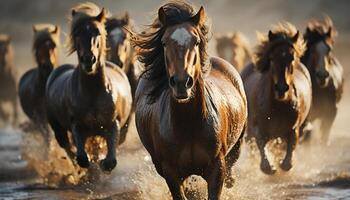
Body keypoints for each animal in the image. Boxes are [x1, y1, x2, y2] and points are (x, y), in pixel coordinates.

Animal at [45, 2, 133, 172]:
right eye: (77, 33)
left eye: (97, 32)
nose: (88, 60)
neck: (94, 92)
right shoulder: (77, 126)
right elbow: (82, 158)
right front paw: (89, 167)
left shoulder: (112, 124)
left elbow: (111, 159)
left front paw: (103, 164)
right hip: (58, 128)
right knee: (67, 146)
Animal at [133, 1, 246, 200]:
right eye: (164, 42)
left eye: (196, 41)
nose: (181, 83)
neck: (190, 124)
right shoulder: (171, 173)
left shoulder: (217, 169)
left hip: (238, 142)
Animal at [241, 22, 312, 174]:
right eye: (272, 58)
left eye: (292, 58)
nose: (281, 88)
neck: (278, 106)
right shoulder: (257, 128)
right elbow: (261, 144)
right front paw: (270, 167)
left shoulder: (294, 129)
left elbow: (289, 155)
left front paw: (281, 163)